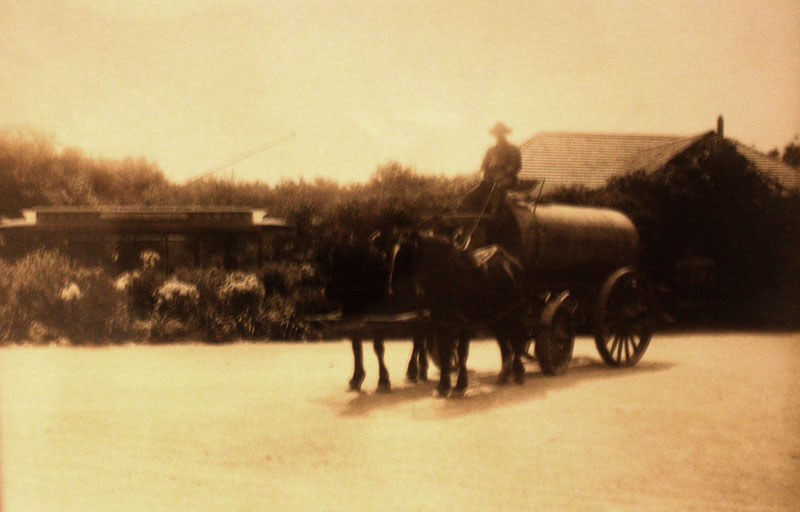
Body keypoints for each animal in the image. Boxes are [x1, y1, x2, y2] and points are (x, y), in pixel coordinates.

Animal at [320, 234, 428, 394]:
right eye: (331, 263)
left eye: (346, 262)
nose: (328, 292)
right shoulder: (354, 321)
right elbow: (356, 349)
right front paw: (356, 379)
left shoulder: (379, 321)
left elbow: (378, 348)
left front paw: (383, 380)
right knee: (421, 338)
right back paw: (420, 370)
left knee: (419, 339)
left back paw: (414, 370)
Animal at [384, 230, 528, 398]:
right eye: (391, 254)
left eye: (406, 254)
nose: (392, 289)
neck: (449, 279)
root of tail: (512, 261)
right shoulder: (441, 323)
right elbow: (445, 353)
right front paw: (443, 387)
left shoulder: (464, 324)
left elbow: (461, 353)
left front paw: (460, 386)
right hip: (496, 317)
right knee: (504, 343)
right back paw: (504, 375)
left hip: (515, 312)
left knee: (517, 340)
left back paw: (518, 372)